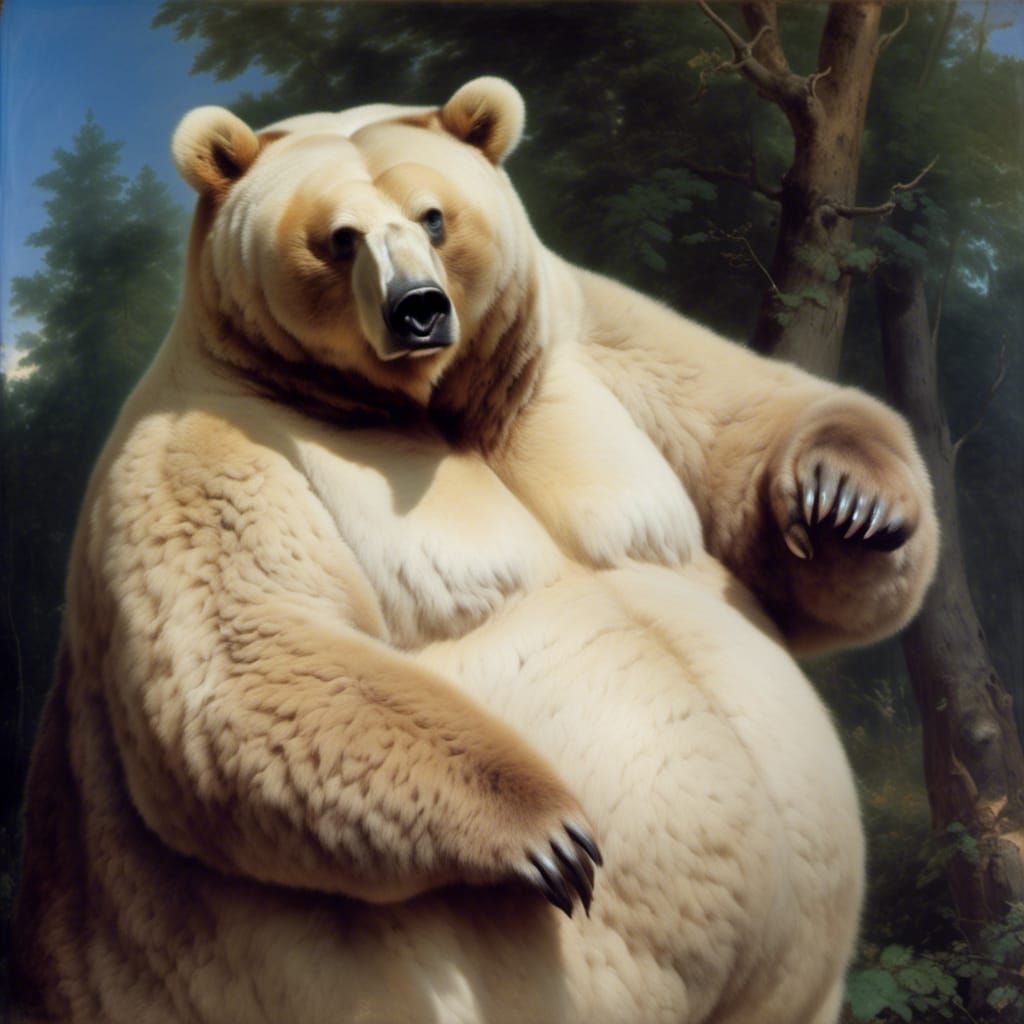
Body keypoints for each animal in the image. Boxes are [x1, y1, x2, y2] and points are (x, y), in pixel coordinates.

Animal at [13, 77, 938, 1024]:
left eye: (433, 217)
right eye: (338, 237)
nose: (418, 309)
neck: (424, 404)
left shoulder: (567, 334)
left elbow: (737, 421)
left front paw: (847, 501)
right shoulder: (207, 452)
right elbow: (248, 661)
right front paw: (552, 834)